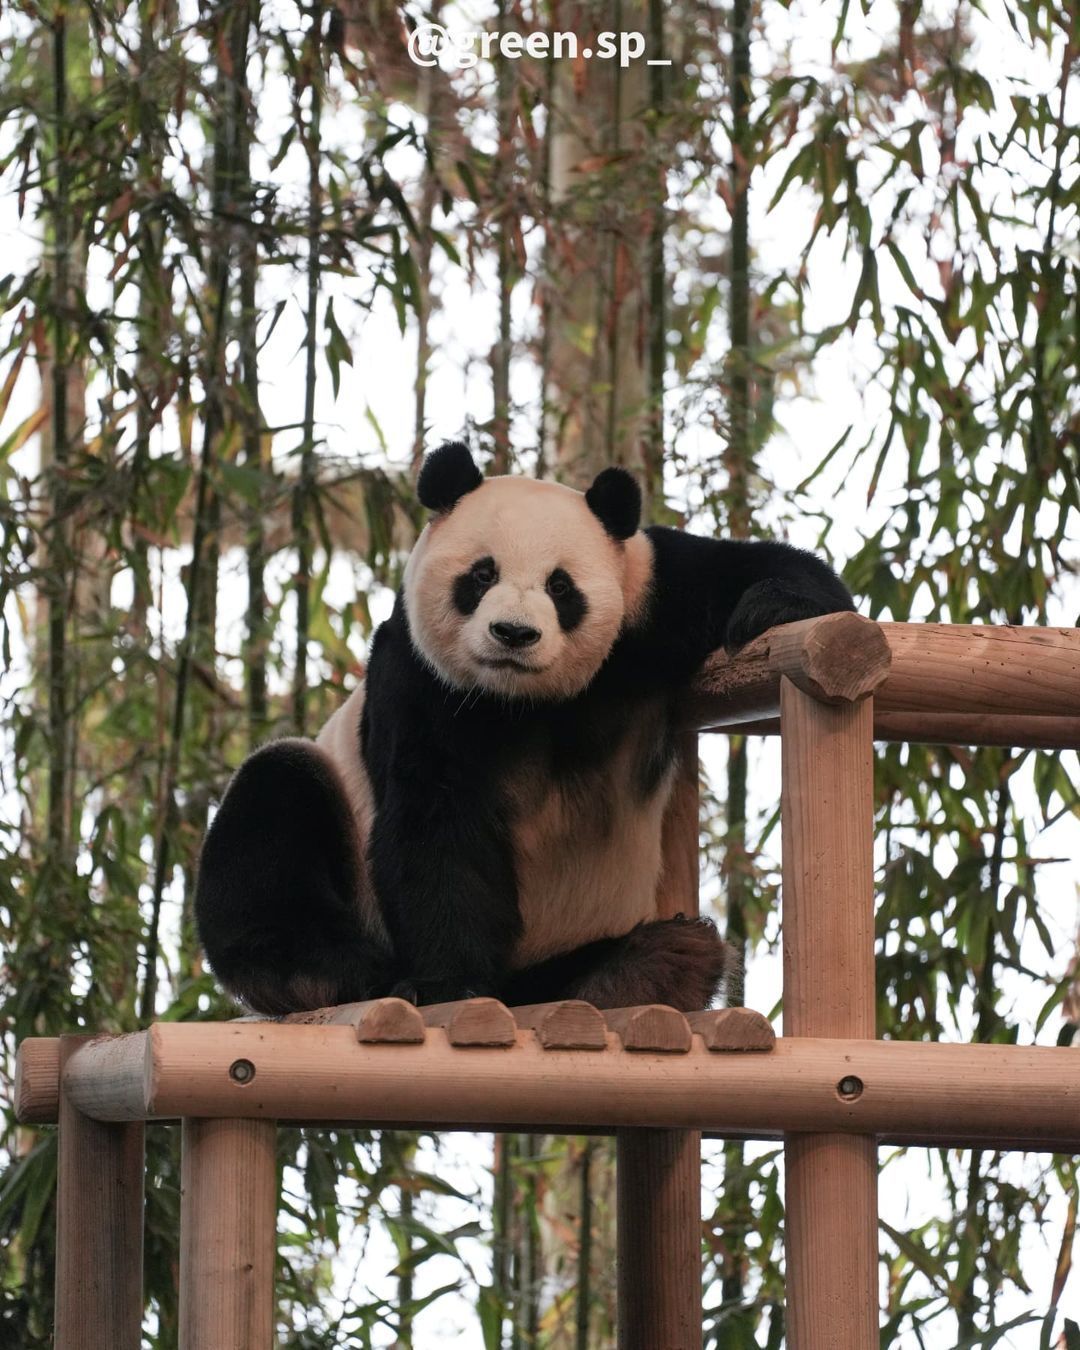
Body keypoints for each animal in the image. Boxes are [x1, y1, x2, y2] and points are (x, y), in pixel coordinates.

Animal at [191, 442, 853, 1015]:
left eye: (560, 585)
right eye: (482, 574)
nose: (513, 633)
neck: (523, 700)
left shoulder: (651, 600)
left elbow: (760, 570)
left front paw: (773, 608)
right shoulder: (421, 680)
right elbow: (436, 820)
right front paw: (451, 986)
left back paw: (646, 966)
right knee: (272, 808)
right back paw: (331, 974)